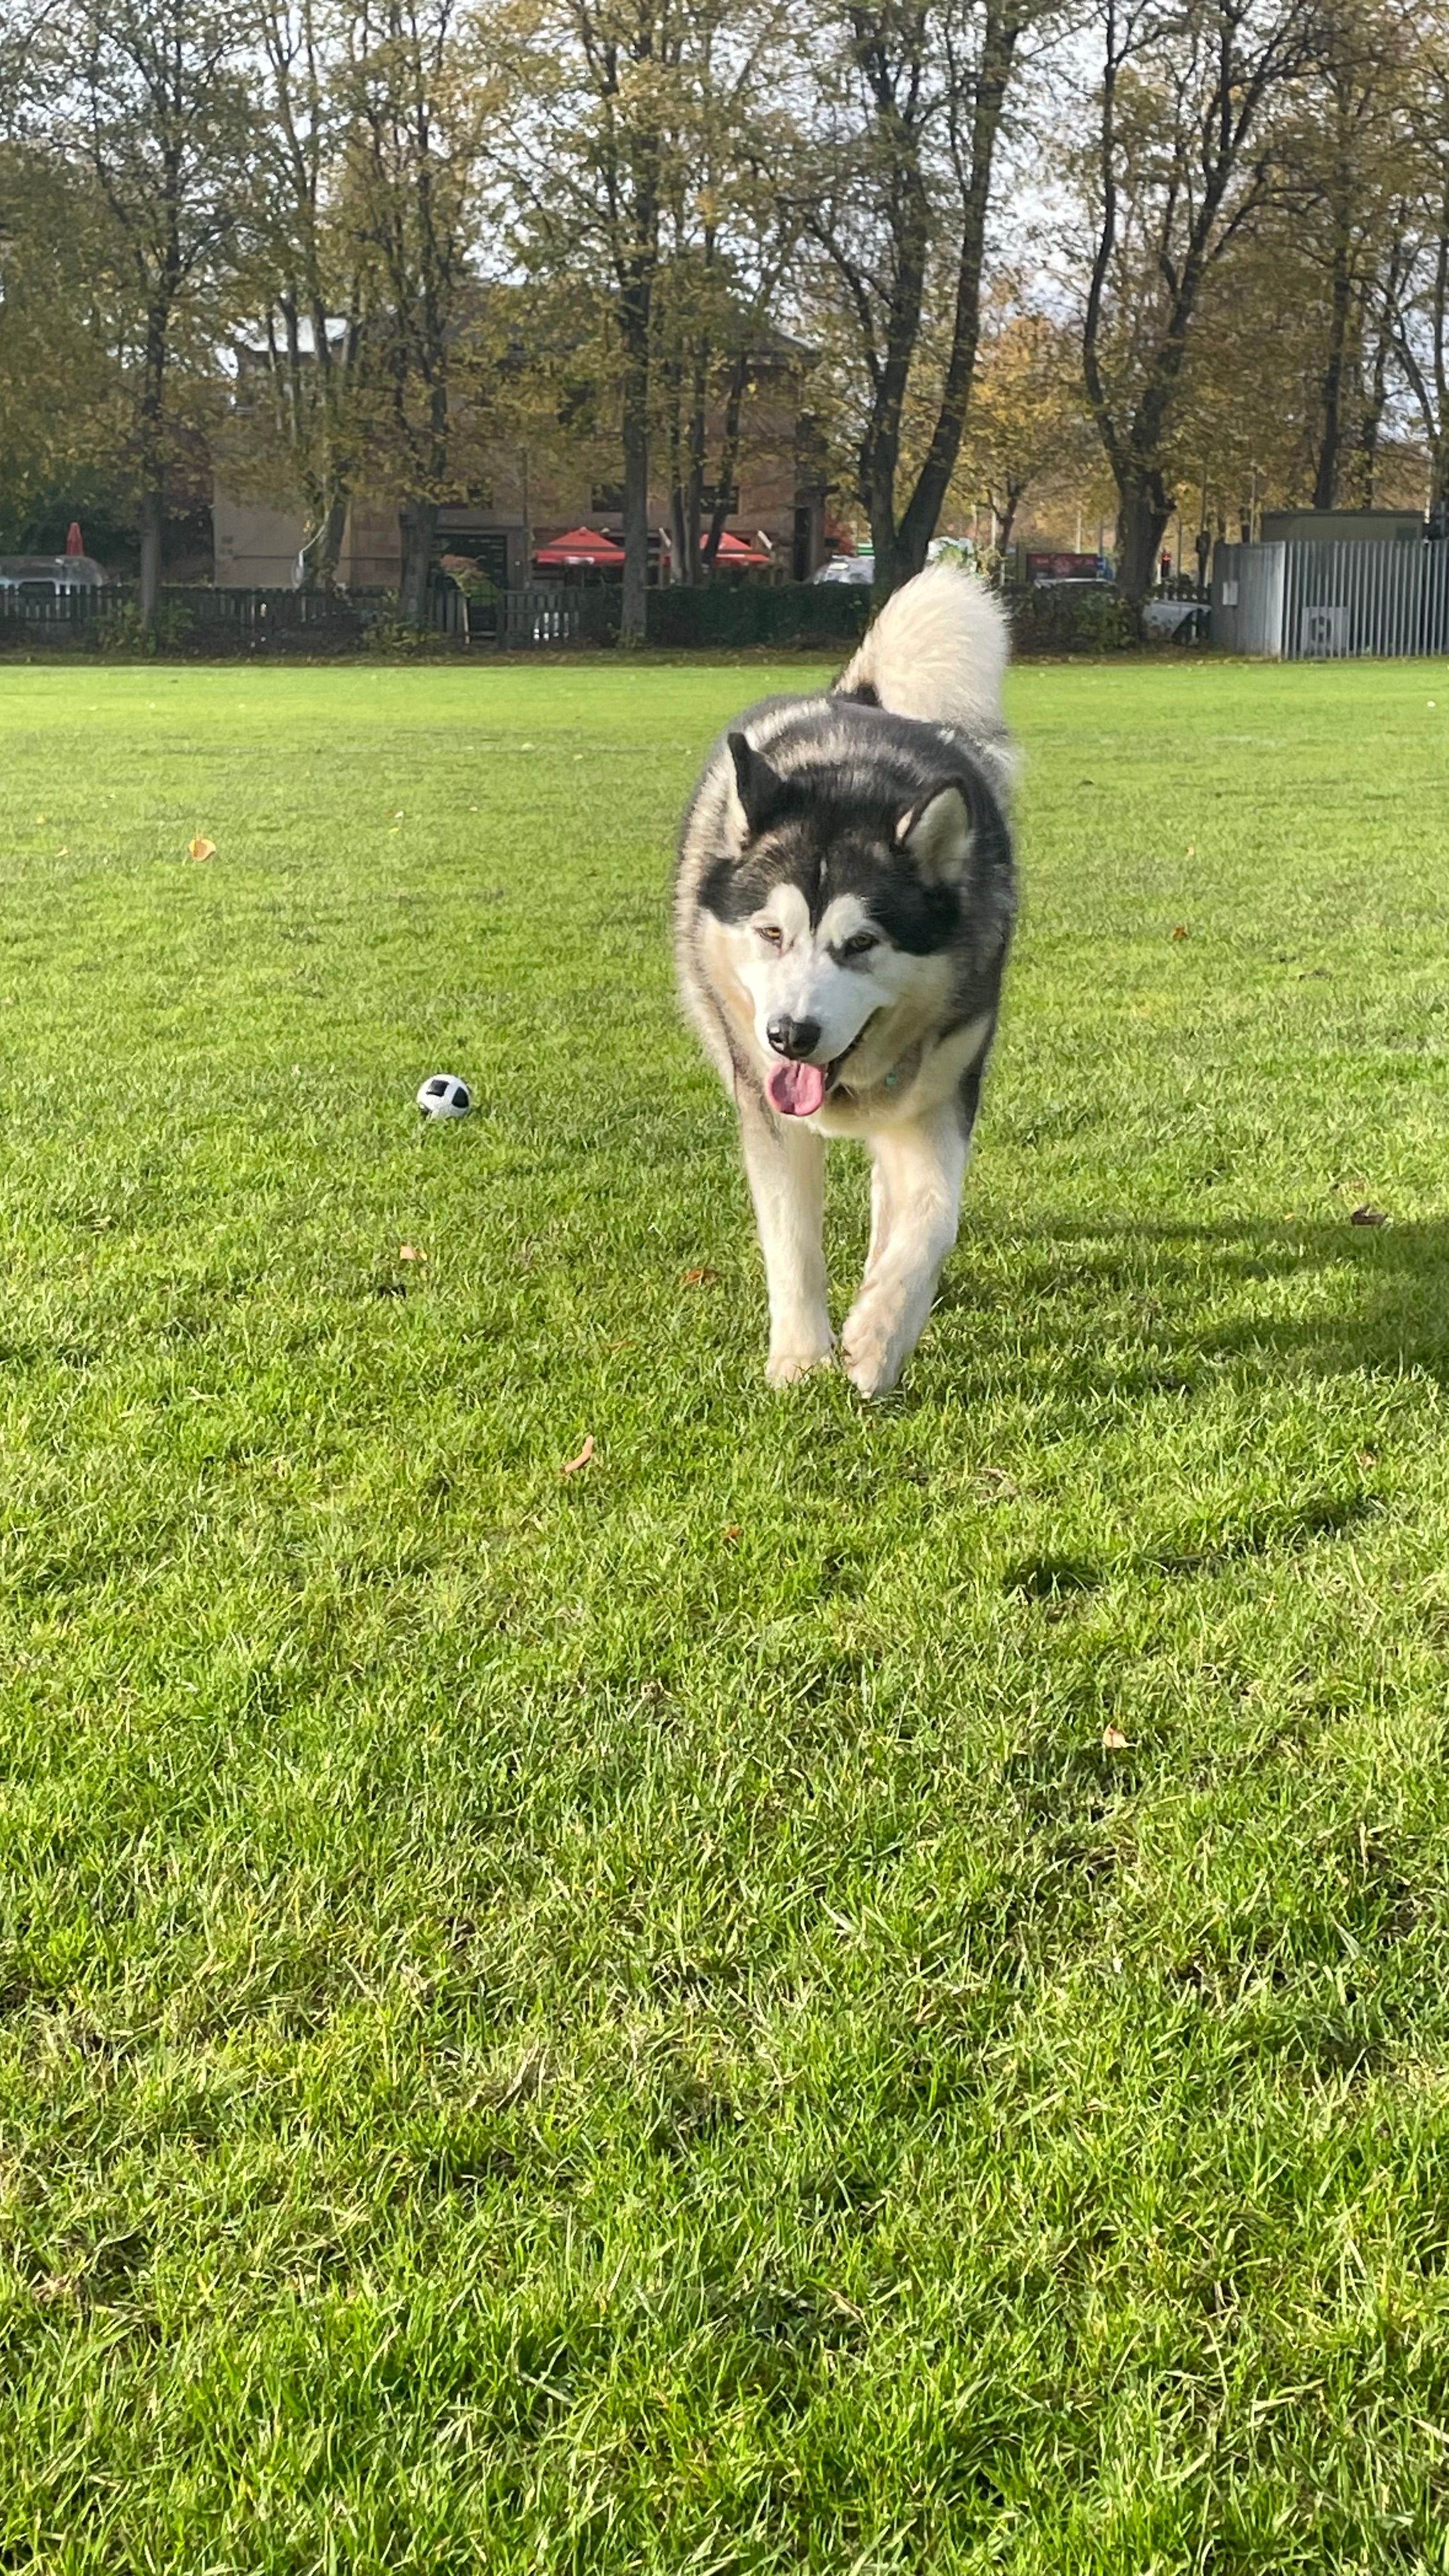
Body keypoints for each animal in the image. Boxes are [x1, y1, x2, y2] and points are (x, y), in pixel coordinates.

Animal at [674, 563, 1016, 1396]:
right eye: (772, 934)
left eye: (860, 944)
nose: (790, 1036)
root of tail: (859, 701)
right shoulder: (768, 1106)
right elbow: (792, 1236)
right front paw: (801, 1357)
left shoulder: (942, 1090)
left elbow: (931, 1219)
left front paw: (877, 1339)